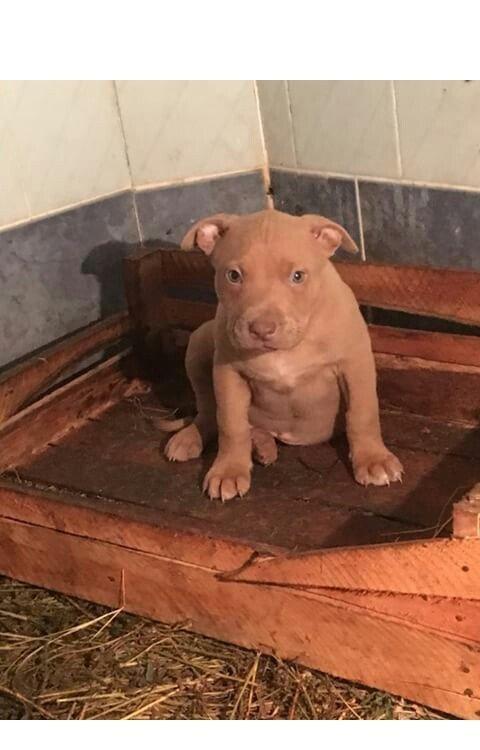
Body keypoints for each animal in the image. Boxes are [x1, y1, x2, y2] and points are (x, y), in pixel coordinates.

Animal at [161, 209, 403, 501]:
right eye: (233, 275)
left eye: (298, 276)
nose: (262, 329)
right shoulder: (228, 373)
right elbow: (230, 424)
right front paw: (229, 470)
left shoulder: (355, 362)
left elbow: (362, 413)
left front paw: (374, 460)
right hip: (198, 343)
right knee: (209, 409)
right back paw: (197, 438)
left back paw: (261, 445)